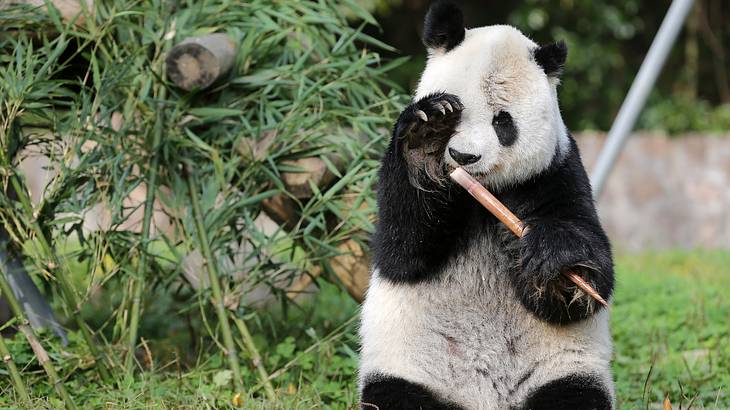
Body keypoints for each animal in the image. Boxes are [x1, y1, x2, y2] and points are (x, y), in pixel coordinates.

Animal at [358, 1, 616, 408]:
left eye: (502, 122)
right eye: (457, 114)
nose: (465, 157)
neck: (481, 194)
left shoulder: (556, 170)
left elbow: (588, 275)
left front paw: (554, 261)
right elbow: (402, 249)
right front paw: (424, 136)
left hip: (561, 370)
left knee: (574, 396)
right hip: (410, 368)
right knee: (396, 396)